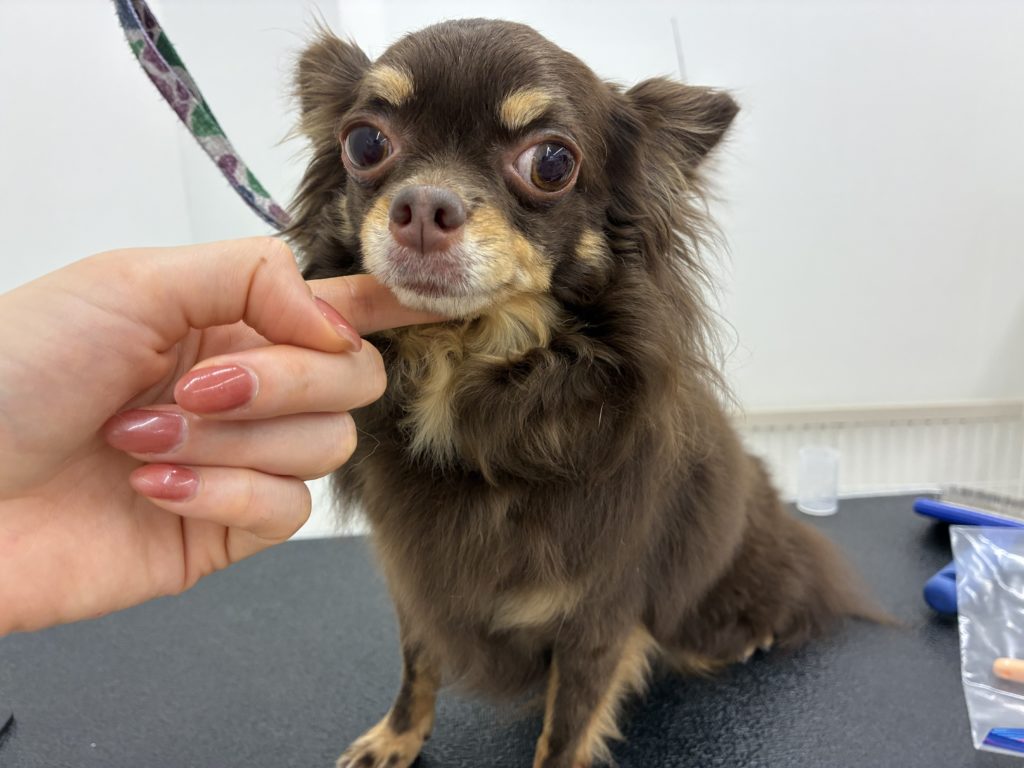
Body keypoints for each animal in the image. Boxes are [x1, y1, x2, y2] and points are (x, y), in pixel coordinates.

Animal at [288, 19, 872, 768]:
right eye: (364, 144)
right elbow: (417, 663)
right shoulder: (419, 582)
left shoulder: (600, 616)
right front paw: (397, 736)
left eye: (551, 164)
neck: (464, 372)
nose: (422, 205)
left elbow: (564, 730)